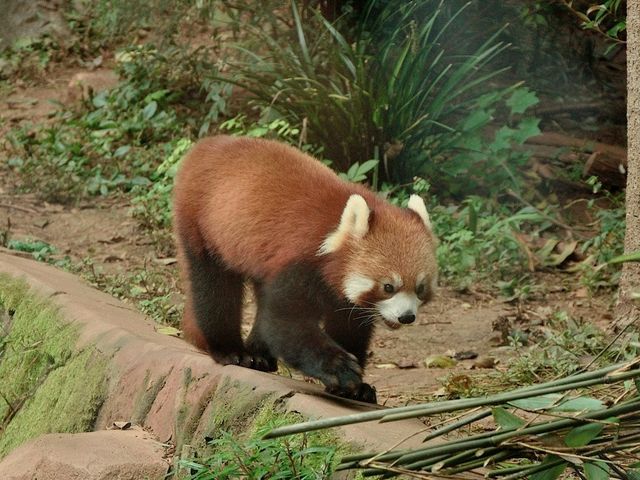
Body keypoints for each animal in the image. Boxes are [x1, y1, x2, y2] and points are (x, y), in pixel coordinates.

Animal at [172, 137, 438, 404]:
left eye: (420, 289)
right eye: (388, 287)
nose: (406, 316)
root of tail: (209, 143)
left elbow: (348, 327)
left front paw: (358, 388)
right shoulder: (300, 261)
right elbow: (284, 321)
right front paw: (339, 369)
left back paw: (261, 355)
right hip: (202, 222)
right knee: (214, 286)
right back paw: (231, 350)